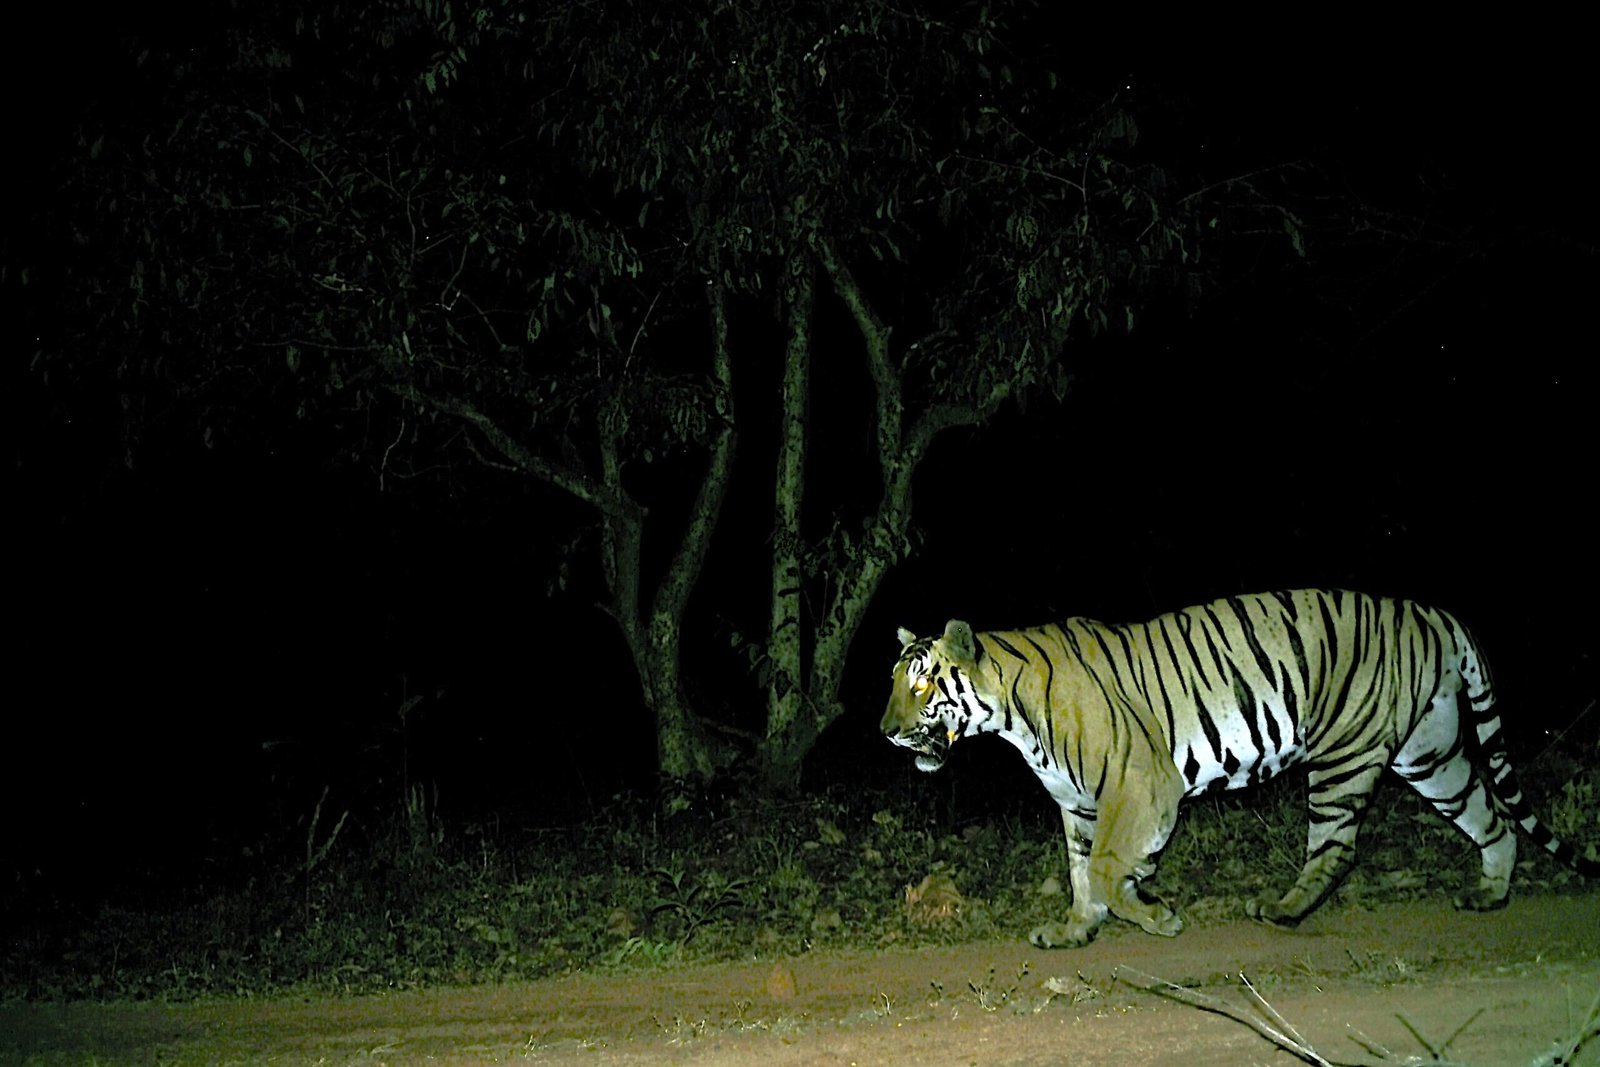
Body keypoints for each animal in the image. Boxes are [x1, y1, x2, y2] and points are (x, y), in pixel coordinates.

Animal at [881, 589, 1598, 947]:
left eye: (921, 684)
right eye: (894, 682)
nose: (885, 731)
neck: (1009, 716)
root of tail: (1431, 610)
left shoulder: (1141, 784)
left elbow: (1110, 869)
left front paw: (1155, 916)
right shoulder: (1078, 803)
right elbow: (1084, 872)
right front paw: (1076, 930)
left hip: (1343, 752)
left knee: (1336, 846)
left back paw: (1282, 910)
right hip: (1429, 750)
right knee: (1491, 815)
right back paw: (1490, 893)